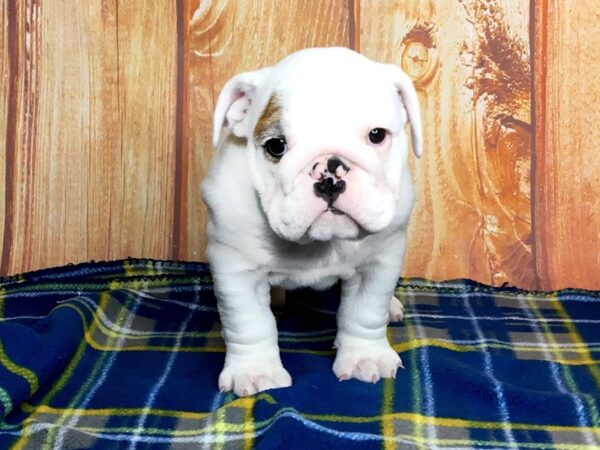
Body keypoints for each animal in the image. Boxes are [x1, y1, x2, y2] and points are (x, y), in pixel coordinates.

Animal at [202, 47, 422, 396]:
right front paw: (256, 372)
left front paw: (365, 357)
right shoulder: (236, 267)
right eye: (276, 146)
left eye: (377, 136)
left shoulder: (378, 264)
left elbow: (365, 311)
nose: (330, 172)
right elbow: (249, 322)